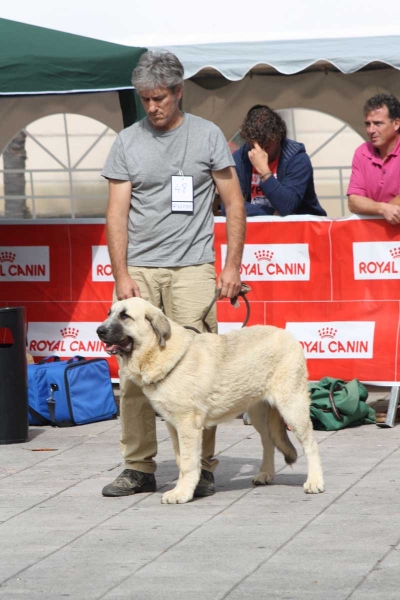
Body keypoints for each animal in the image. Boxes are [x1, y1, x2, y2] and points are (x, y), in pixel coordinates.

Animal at [97, 298, 324, 504]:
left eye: (125, 316)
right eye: (109, 313)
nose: (99, 331)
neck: (162, 353)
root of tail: (286, 334)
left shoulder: (188, 425)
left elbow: (188, 462)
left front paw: (182, 494)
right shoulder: (173, 425)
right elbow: (182, 460)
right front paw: (186, 488)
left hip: (292, 408)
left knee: (311, 444)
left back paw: (315, 482)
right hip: (257, 412)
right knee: (267, 440)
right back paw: (265, 474)